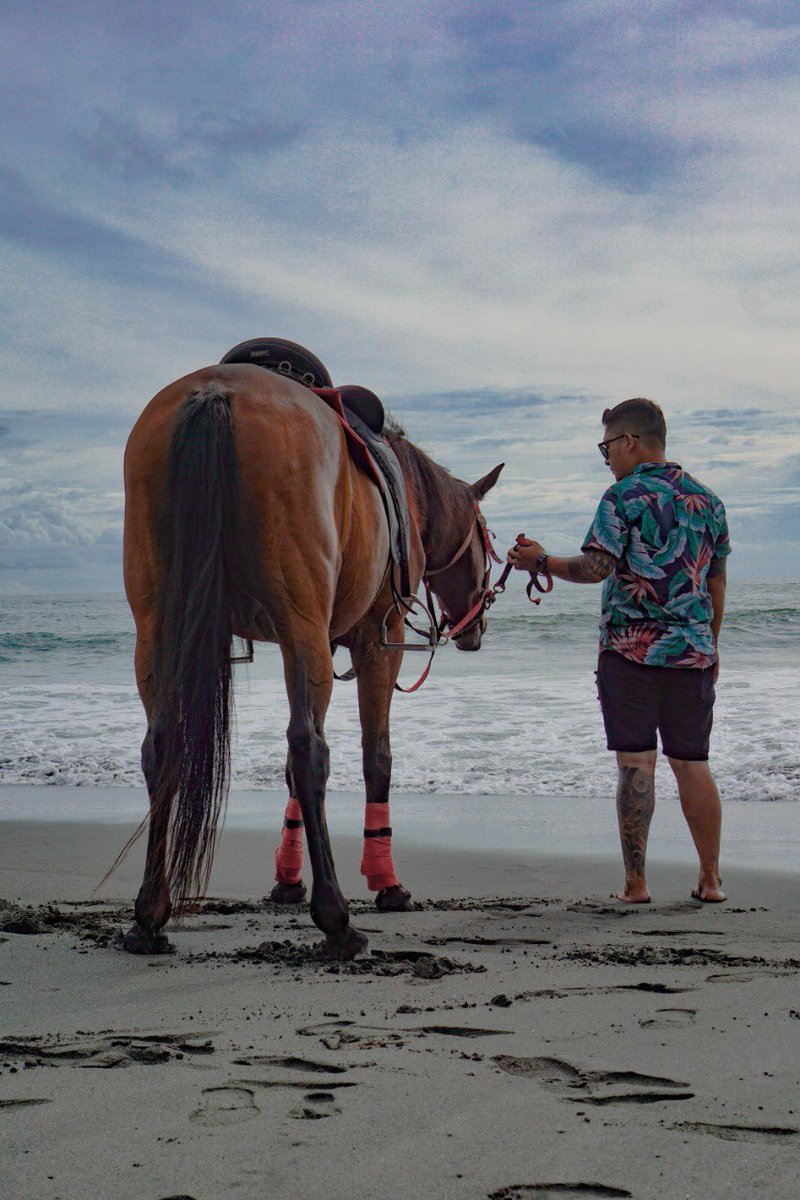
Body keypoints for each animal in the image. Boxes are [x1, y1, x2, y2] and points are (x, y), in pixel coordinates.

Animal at [122, 359, 503, 960]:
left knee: (163, 747)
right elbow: (376, 758)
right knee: (310, 750)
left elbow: (287, 771)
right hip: (303, 622)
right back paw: (337, 919)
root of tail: (215, 393)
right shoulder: (377, 639)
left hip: (158, 627)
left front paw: (286, 878)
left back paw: (149, 915)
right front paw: (385, 881)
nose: (477, 627)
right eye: (487, 541)